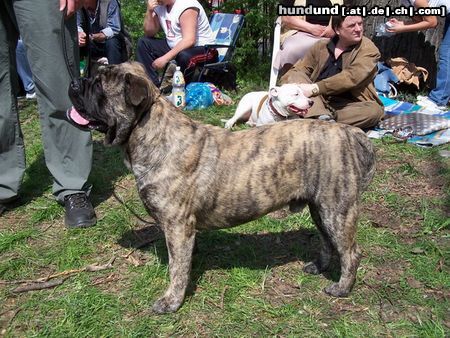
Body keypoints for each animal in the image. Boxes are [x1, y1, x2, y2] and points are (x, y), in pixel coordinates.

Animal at [67, 62, 376, 312]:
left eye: (99, 84)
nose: (74, 83)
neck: (153, 133)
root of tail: (350, 133)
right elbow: (182, 261)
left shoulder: (177, 226)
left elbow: (177, 268)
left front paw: (171, 301)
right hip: (320, 208)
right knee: (327, 241)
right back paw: (319, 267)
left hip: (337, 210)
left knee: (351, 252)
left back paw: (341, 288)